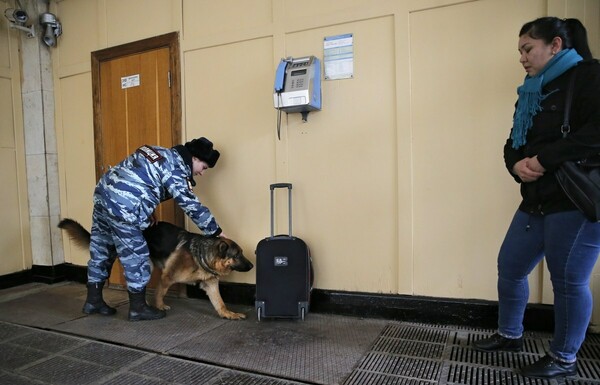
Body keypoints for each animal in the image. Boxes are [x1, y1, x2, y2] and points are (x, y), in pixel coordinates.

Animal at [56, 218, 253, 320]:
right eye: (237, 255)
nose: (252, 265)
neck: (202, 255)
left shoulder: (210, 285)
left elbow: (220, 302)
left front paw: (228, 314)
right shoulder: (167, 277)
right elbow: (160, 291)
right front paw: (159, 306)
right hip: (142, 262)